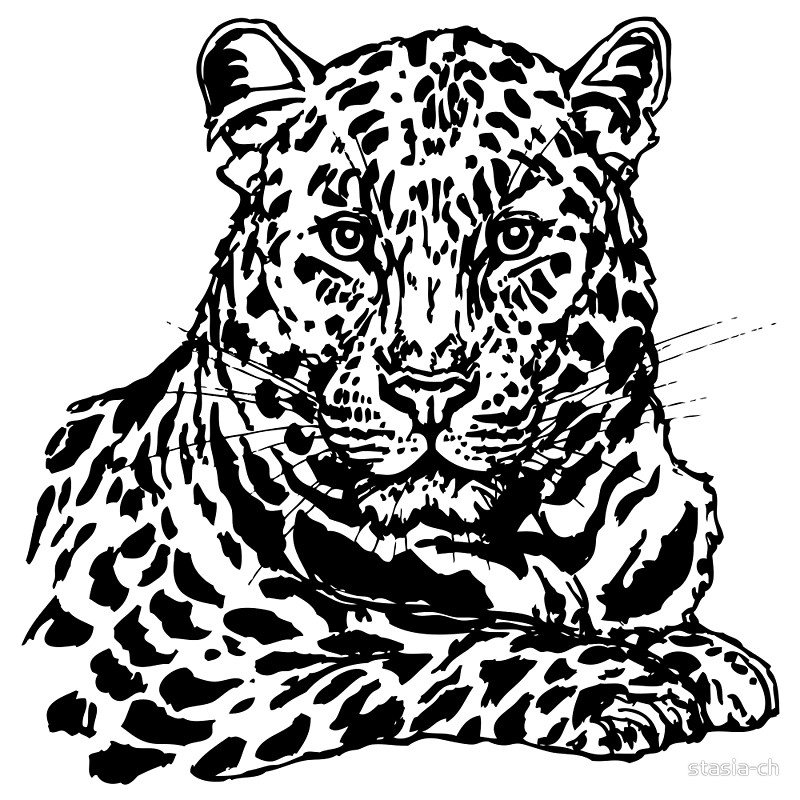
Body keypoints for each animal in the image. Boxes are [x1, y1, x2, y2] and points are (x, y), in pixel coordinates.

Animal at [24, 16, 778, 784]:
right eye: (348, 238)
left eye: (515, 237)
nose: (429, 381)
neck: (547, 536)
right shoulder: (162, 681)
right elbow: (431, 649)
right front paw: (627, 685)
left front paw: (705, 656)